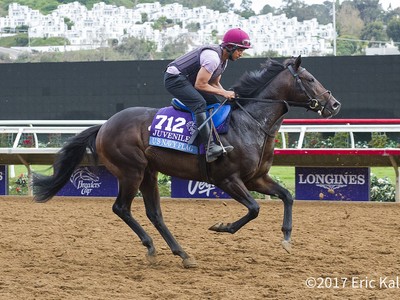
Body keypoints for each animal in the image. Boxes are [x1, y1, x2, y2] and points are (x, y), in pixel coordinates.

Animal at [32, 55, 340, 268]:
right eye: (309, 79)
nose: (334, 104)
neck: (250, 122)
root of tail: (105, 125)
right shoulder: (227, 179)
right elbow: (254, 209)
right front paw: (222, 227)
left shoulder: (256, 178)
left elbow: (287, 196)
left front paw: (286, 239)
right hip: (131, 172)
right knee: (121, 208)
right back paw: (152, 246)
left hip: (149, 173)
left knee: (154, 213)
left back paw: (182, 253)